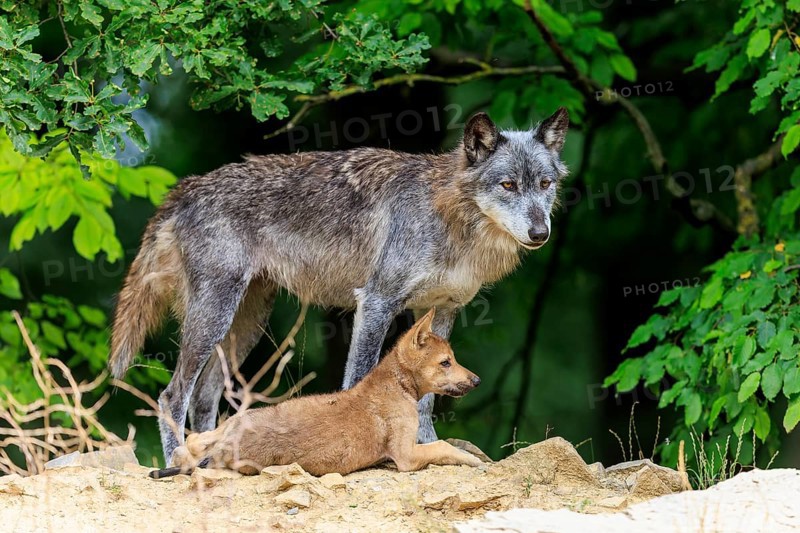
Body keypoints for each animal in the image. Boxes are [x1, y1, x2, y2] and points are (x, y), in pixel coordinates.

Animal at [149, 309, 483, 478]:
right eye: (446, 362)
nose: (478, 380)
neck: (397, 384)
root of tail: (228, 444)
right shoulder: (405, 454)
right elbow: (443, 446)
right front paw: (471, 459)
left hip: (233, 421)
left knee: (190, 442)